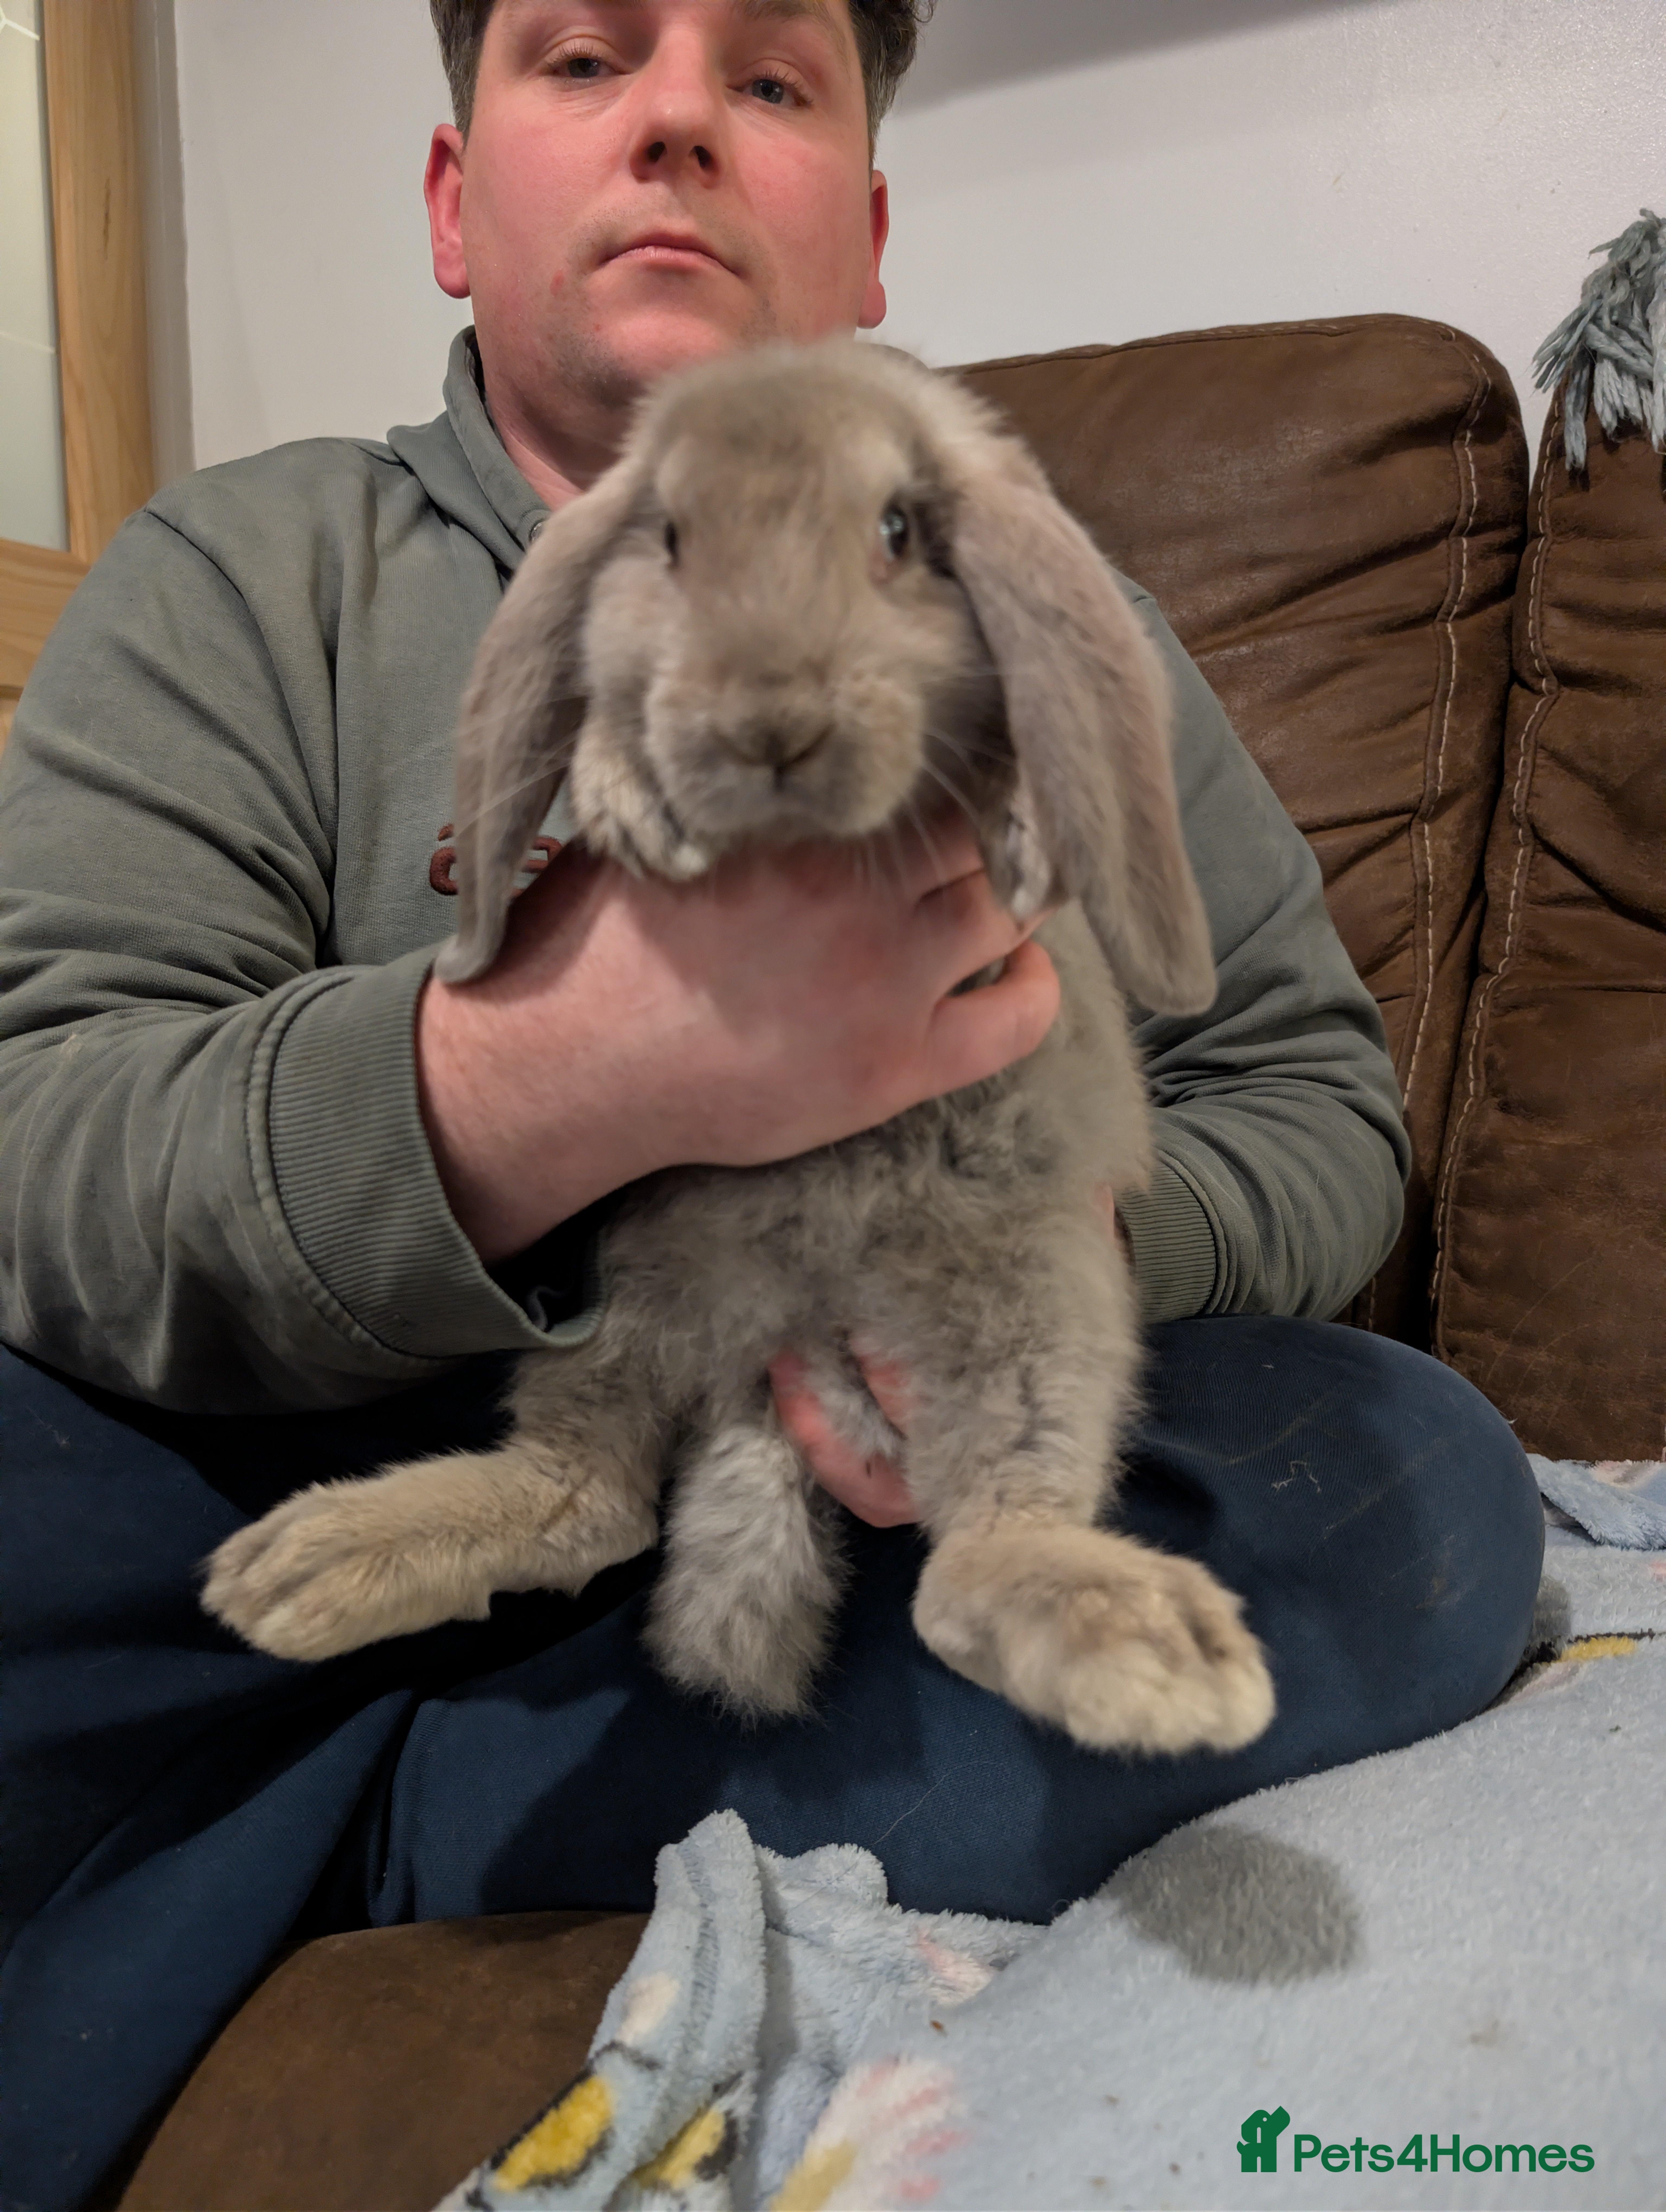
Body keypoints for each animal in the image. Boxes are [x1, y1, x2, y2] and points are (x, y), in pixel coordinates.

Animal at [202, 340, 1276, 1758]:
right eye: (667, 536)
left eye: (897, 531)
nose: (767, 727)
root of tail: (784, 1346)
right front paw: (627, 801)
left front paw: (1021, 833)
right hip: (622, 1304)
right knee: (588, 1496)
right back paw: (305, 1566)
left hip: (1029, 1300)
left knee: (971, 1551)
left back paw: (1155, 1653)